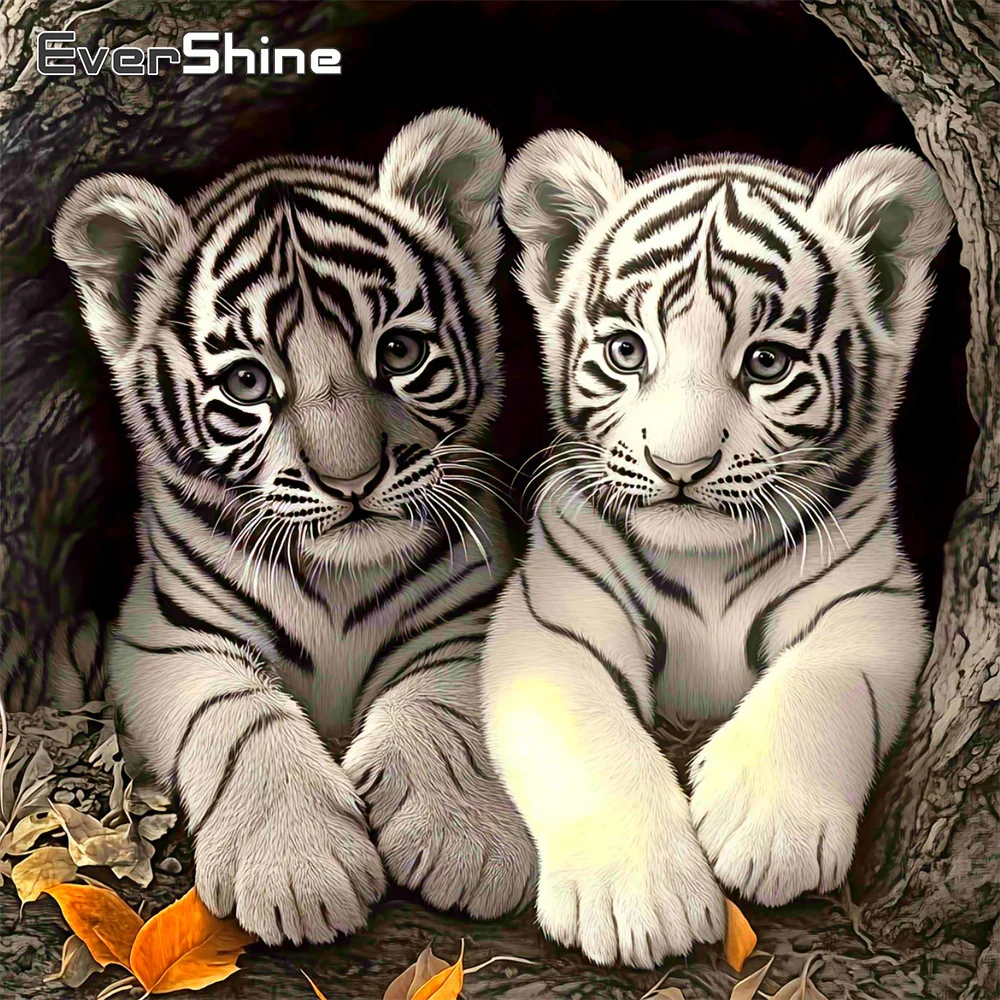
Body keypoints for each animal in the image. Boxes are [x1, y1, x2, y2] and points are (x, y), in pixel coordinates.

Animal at [49, 108, 535, 946]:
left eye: (399, 351)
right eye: (249, 381)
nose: (351, 481)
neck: (340, 573)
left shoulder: (473, 604)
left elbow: (441, 697)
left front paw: (467, 842)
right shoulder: (166, 631)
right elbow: (240, 715)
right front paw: (298, 869)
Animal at [482, 132, 952, 968]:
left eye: (766, 363)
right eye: (627, 351)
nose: (680, 465)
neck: (706, 561)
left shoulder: (872, 595)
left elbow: (822, 682)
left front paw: (767, 829)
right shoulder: (551, 614)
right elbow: (585, 730)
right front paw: (638, 897)